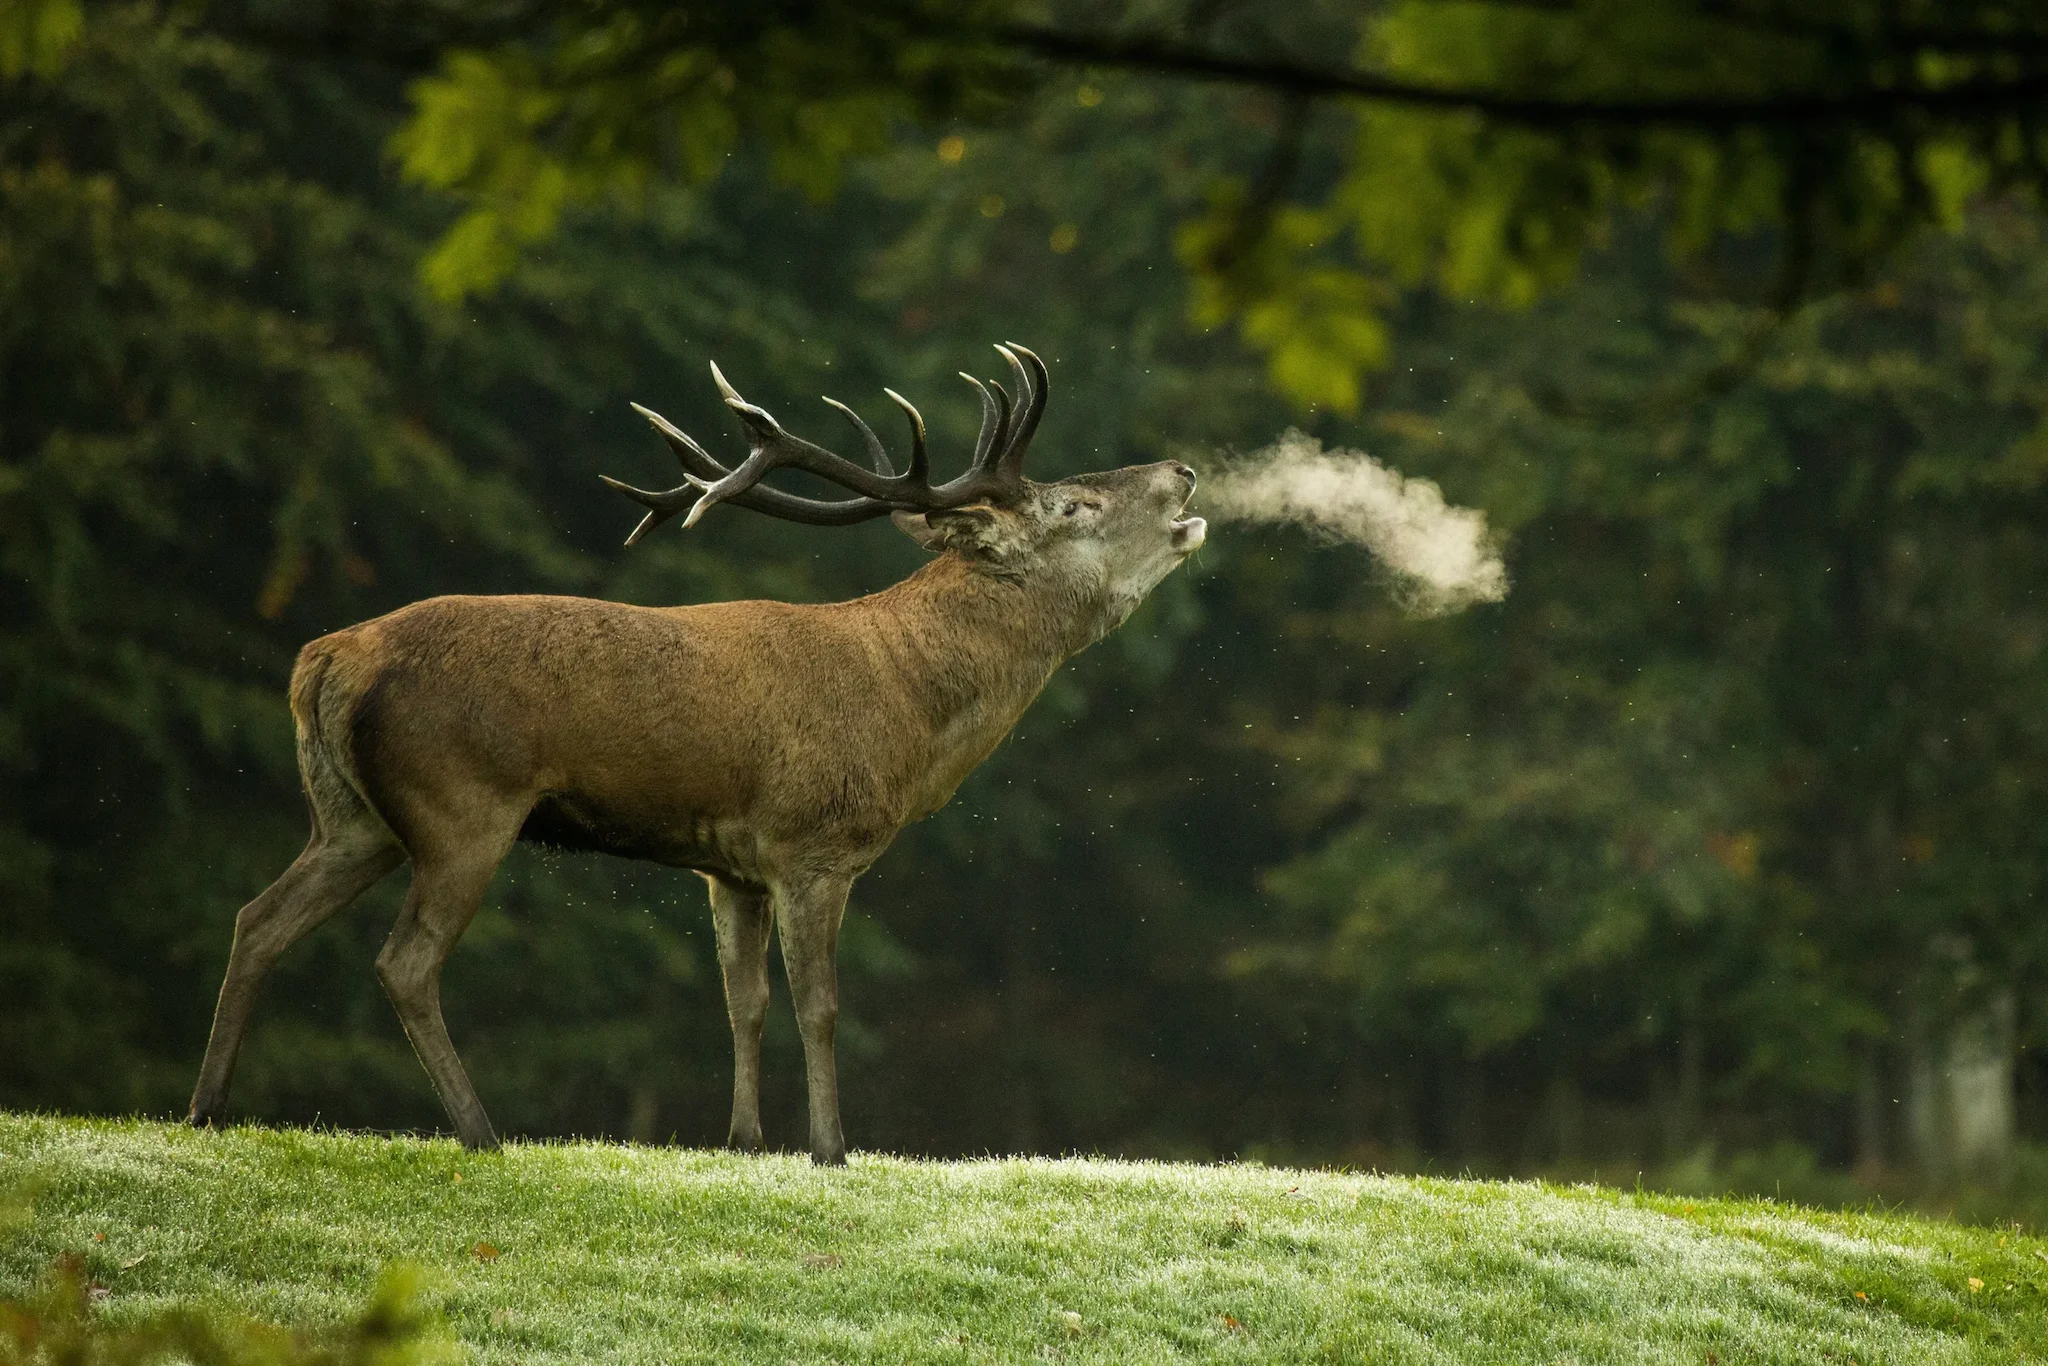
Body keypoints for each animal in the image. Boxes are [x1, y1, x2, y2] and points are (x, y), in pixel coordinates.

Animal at [186, 343, 1206, 1163]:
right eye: (1072, 503)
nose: (1186, 472)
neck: (907, 712)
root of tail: (323, 661)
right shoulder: (812, 844)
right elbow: (819, 1006)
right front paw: (830, 1150)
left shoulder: (731, 866)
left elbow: (741, 1001)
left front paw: (744, 1140)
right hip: (458, 804)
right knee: (405, 962)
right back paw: (481, 1133)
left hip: (352, 817)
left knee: (258, 917)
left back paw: (207, 1109)